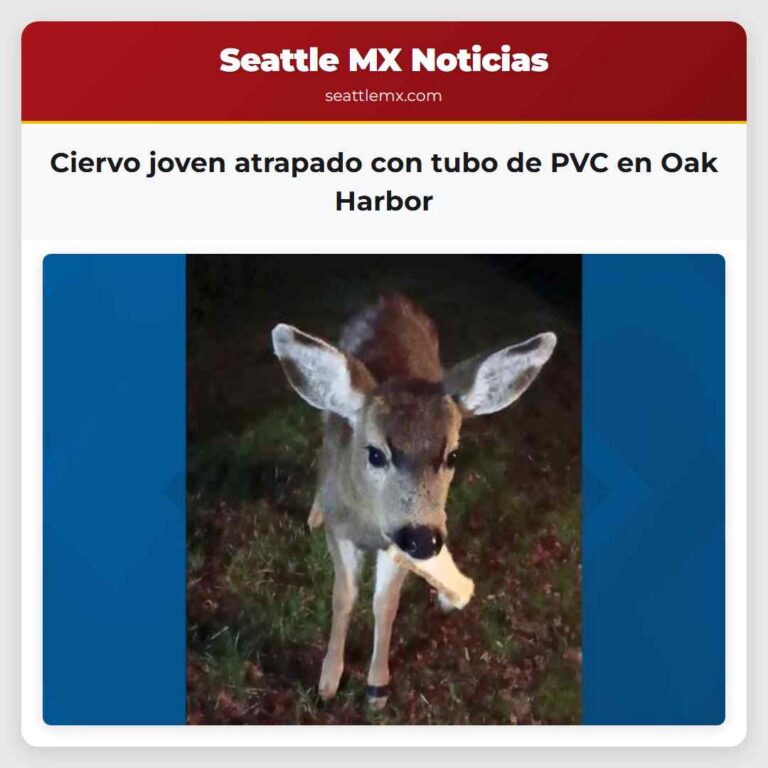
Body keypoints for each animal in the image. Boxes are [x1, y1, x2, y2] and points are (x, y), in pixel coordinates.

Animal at [271, 295, 556, 709]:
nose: (424, 539)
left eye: (453, 455)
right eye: (375, 453)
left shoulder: (397, 544)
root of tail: (390, 297)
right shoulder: (342, 531)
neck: (368, 523)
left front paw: (377, 687)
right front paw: (328, 680)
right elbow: (344, 597)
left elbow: (385, 604)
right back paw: (314, 512)